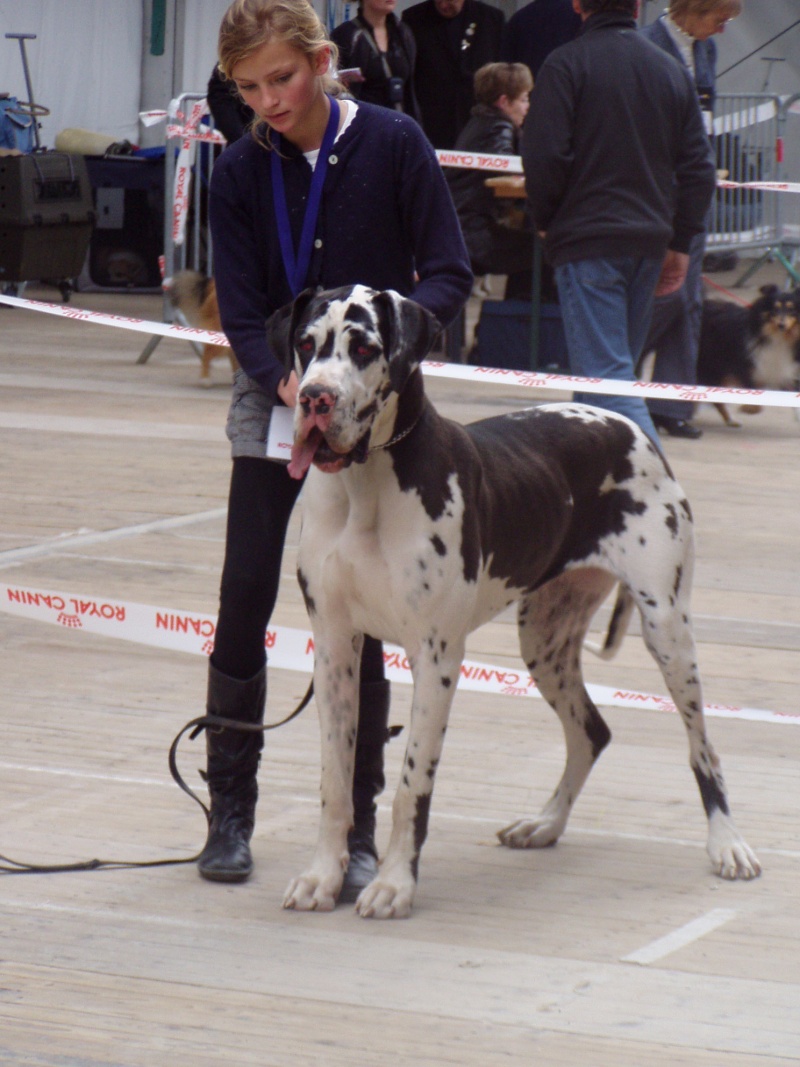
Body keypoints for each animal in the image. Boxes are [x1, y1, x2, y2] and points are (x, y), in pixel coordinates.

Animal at [266, 283, 759, 917]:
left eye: (364, 348)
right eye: (306, 345)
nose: (315, 399)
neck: (368, 483)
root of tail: (630, 426)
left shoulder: (436, 657)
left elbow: (411, 787)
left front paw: (395, 884)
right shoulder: (332, 647)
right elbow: (335, 780)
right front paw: (323, 876)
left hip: (669, 631)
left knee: (704, 748)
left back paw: (727, 843)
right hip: (545, 641)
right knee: (591, 732)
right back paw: (545, 824)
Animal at [699, 290, 800, 431]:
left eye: (792, 309)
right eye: (775, 308)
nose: (781, 325)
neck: (777, 337)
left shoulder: (780, 371)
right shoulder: (747, 368)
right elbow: (755, 399)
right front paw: (748, 408)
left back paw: (732, 420)